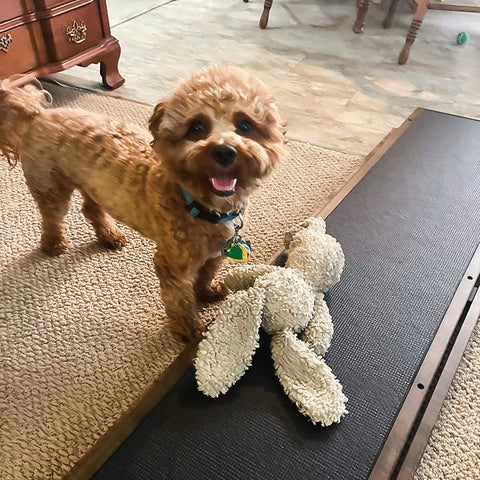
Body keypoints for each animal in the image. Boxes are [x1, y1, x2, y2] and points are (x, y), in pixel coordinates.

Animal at [0, 67, 286, 344]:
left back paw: (109, 235)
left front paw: (207, 291)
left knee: (91, 210)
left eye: (246, 125)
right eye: (196, 127)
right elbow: (181, 303)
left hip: (94, 185)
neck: (200, 205)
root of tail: (38, 114)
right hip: (50, 186)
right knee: (52, 217)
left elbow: (205, 275)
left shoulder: (216, 253)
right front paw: (190, 331)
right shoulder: (172, 266)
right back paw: (54, 244)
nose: (225, 151)